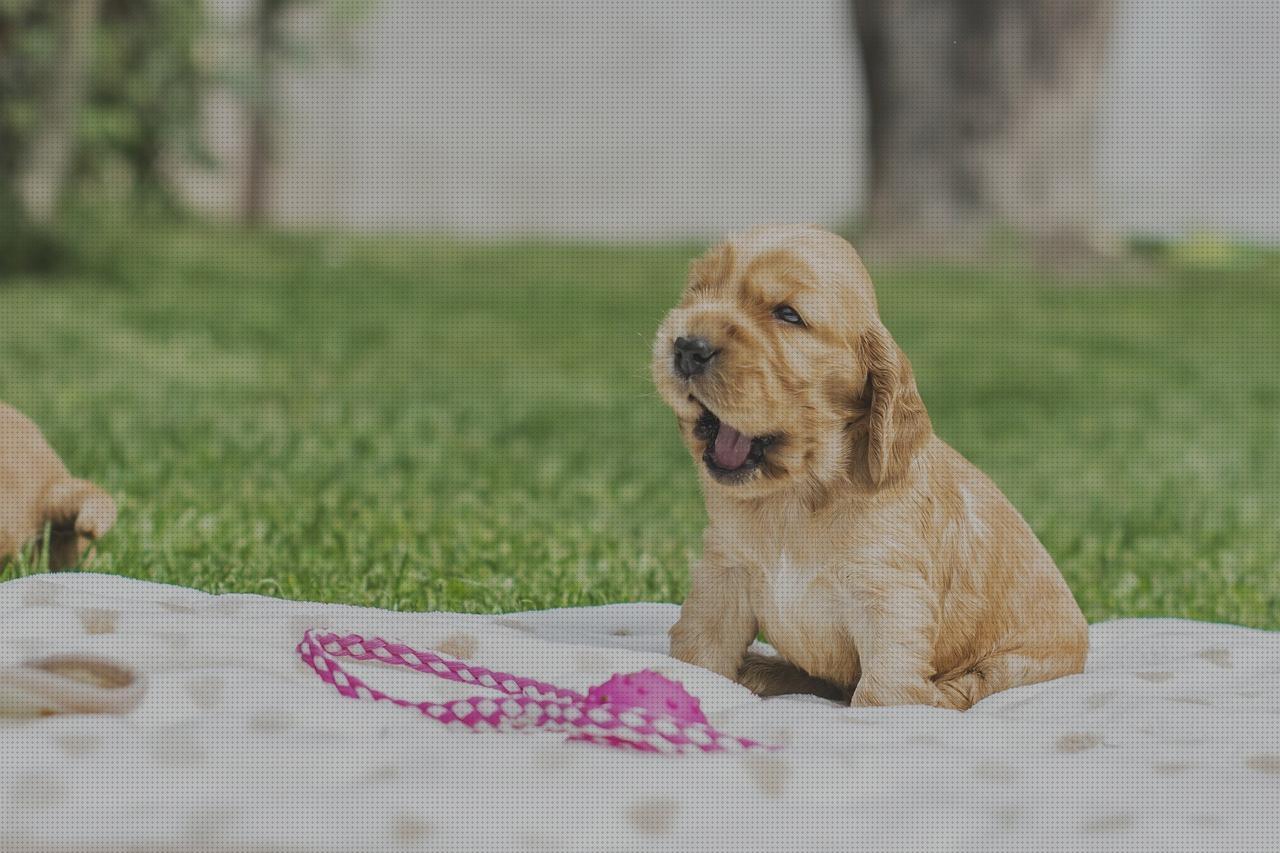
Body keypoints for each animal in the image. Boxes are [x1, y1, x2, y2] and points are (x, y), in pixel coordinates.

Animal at [655, 224, 1085, 701]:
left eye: (787, 314)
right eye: (698, 291)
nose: (687, 347)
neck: (797, 497)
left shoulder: (890, 597)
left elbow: (883, 691)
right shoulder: (723, 573)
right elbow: (701, 652)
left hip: (1019, 665)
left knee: (971, 685)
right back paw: (765, 670)